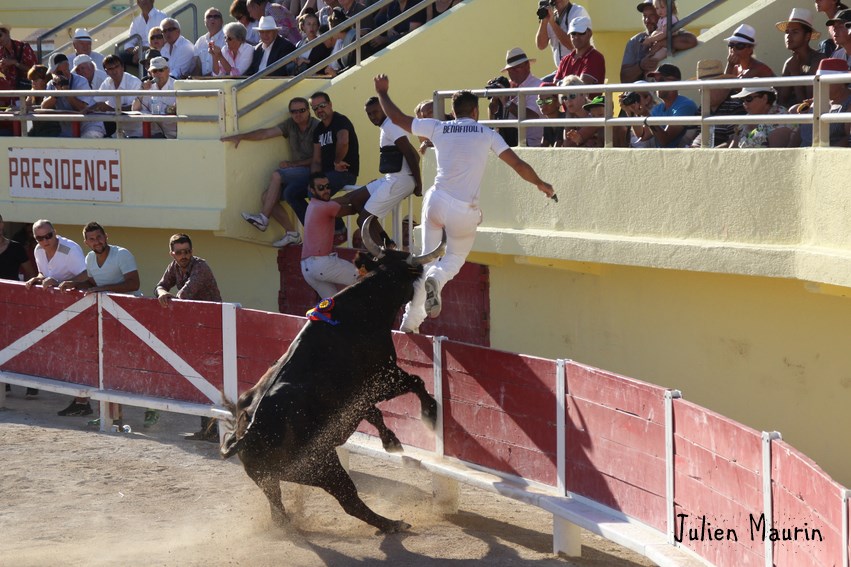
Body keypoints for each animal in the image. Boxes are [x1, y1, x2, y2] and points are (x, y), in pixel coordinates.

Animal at [220, 220, 446, 536]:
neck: (363, 308)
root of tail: (248, 434)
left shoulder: (358, 396)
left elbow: (374, 412)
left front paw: (391, 441)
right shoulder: (383, 376)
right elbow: (416, 382)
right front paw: (430, 414)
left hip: (267, 479)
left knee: (278, 512)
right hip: (323, 466)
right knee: (350, 501)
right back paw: (393, 524)